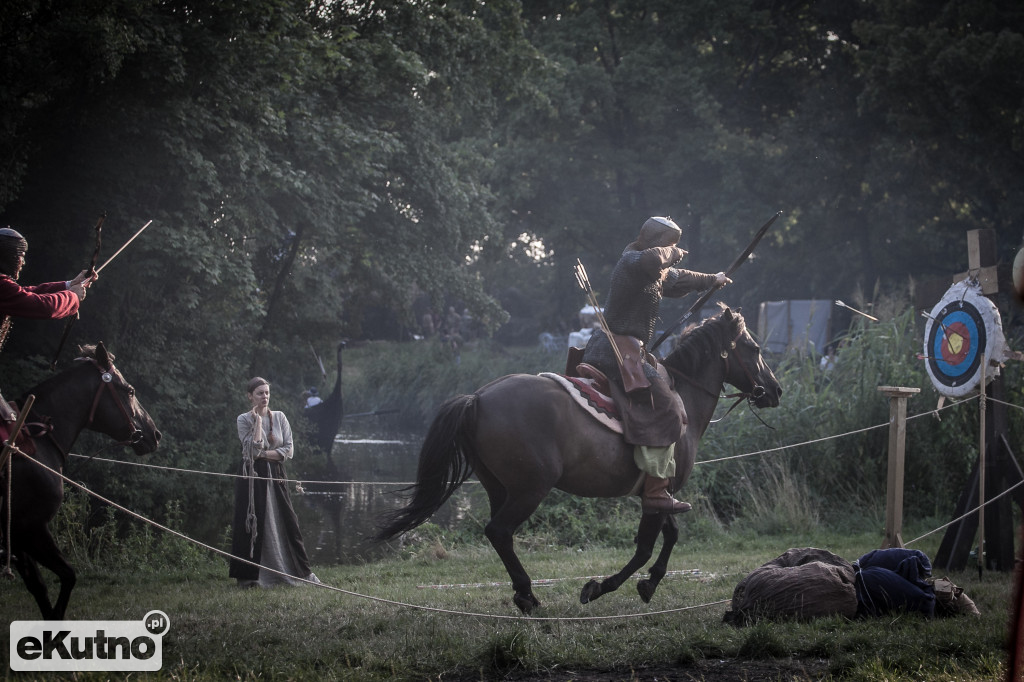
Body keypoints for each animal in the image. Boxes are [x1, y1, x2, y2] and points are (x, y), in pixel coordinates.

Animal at [0, 342, 159, 618]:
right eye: (130, 391)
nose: (155, 434)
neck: (38, 439)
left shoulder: (18, 537)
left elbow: (38, 586)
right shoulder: (32, 527)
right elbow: (67, 576)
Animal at [380, 307, 778, 610]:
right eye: (754, 347)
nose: (774, 390)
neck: (684, 403)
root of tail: (477, 398)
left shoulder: (660, 495)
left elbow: (671, 535)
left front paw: (648, 584)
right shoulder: (657, 494)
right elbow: (645, 548)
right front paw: (600, 587)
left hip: (499, 487)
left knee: (500, 535)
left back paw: (523, 592)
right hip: (530, 488)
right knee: (500, 531)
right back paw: (528, 596)